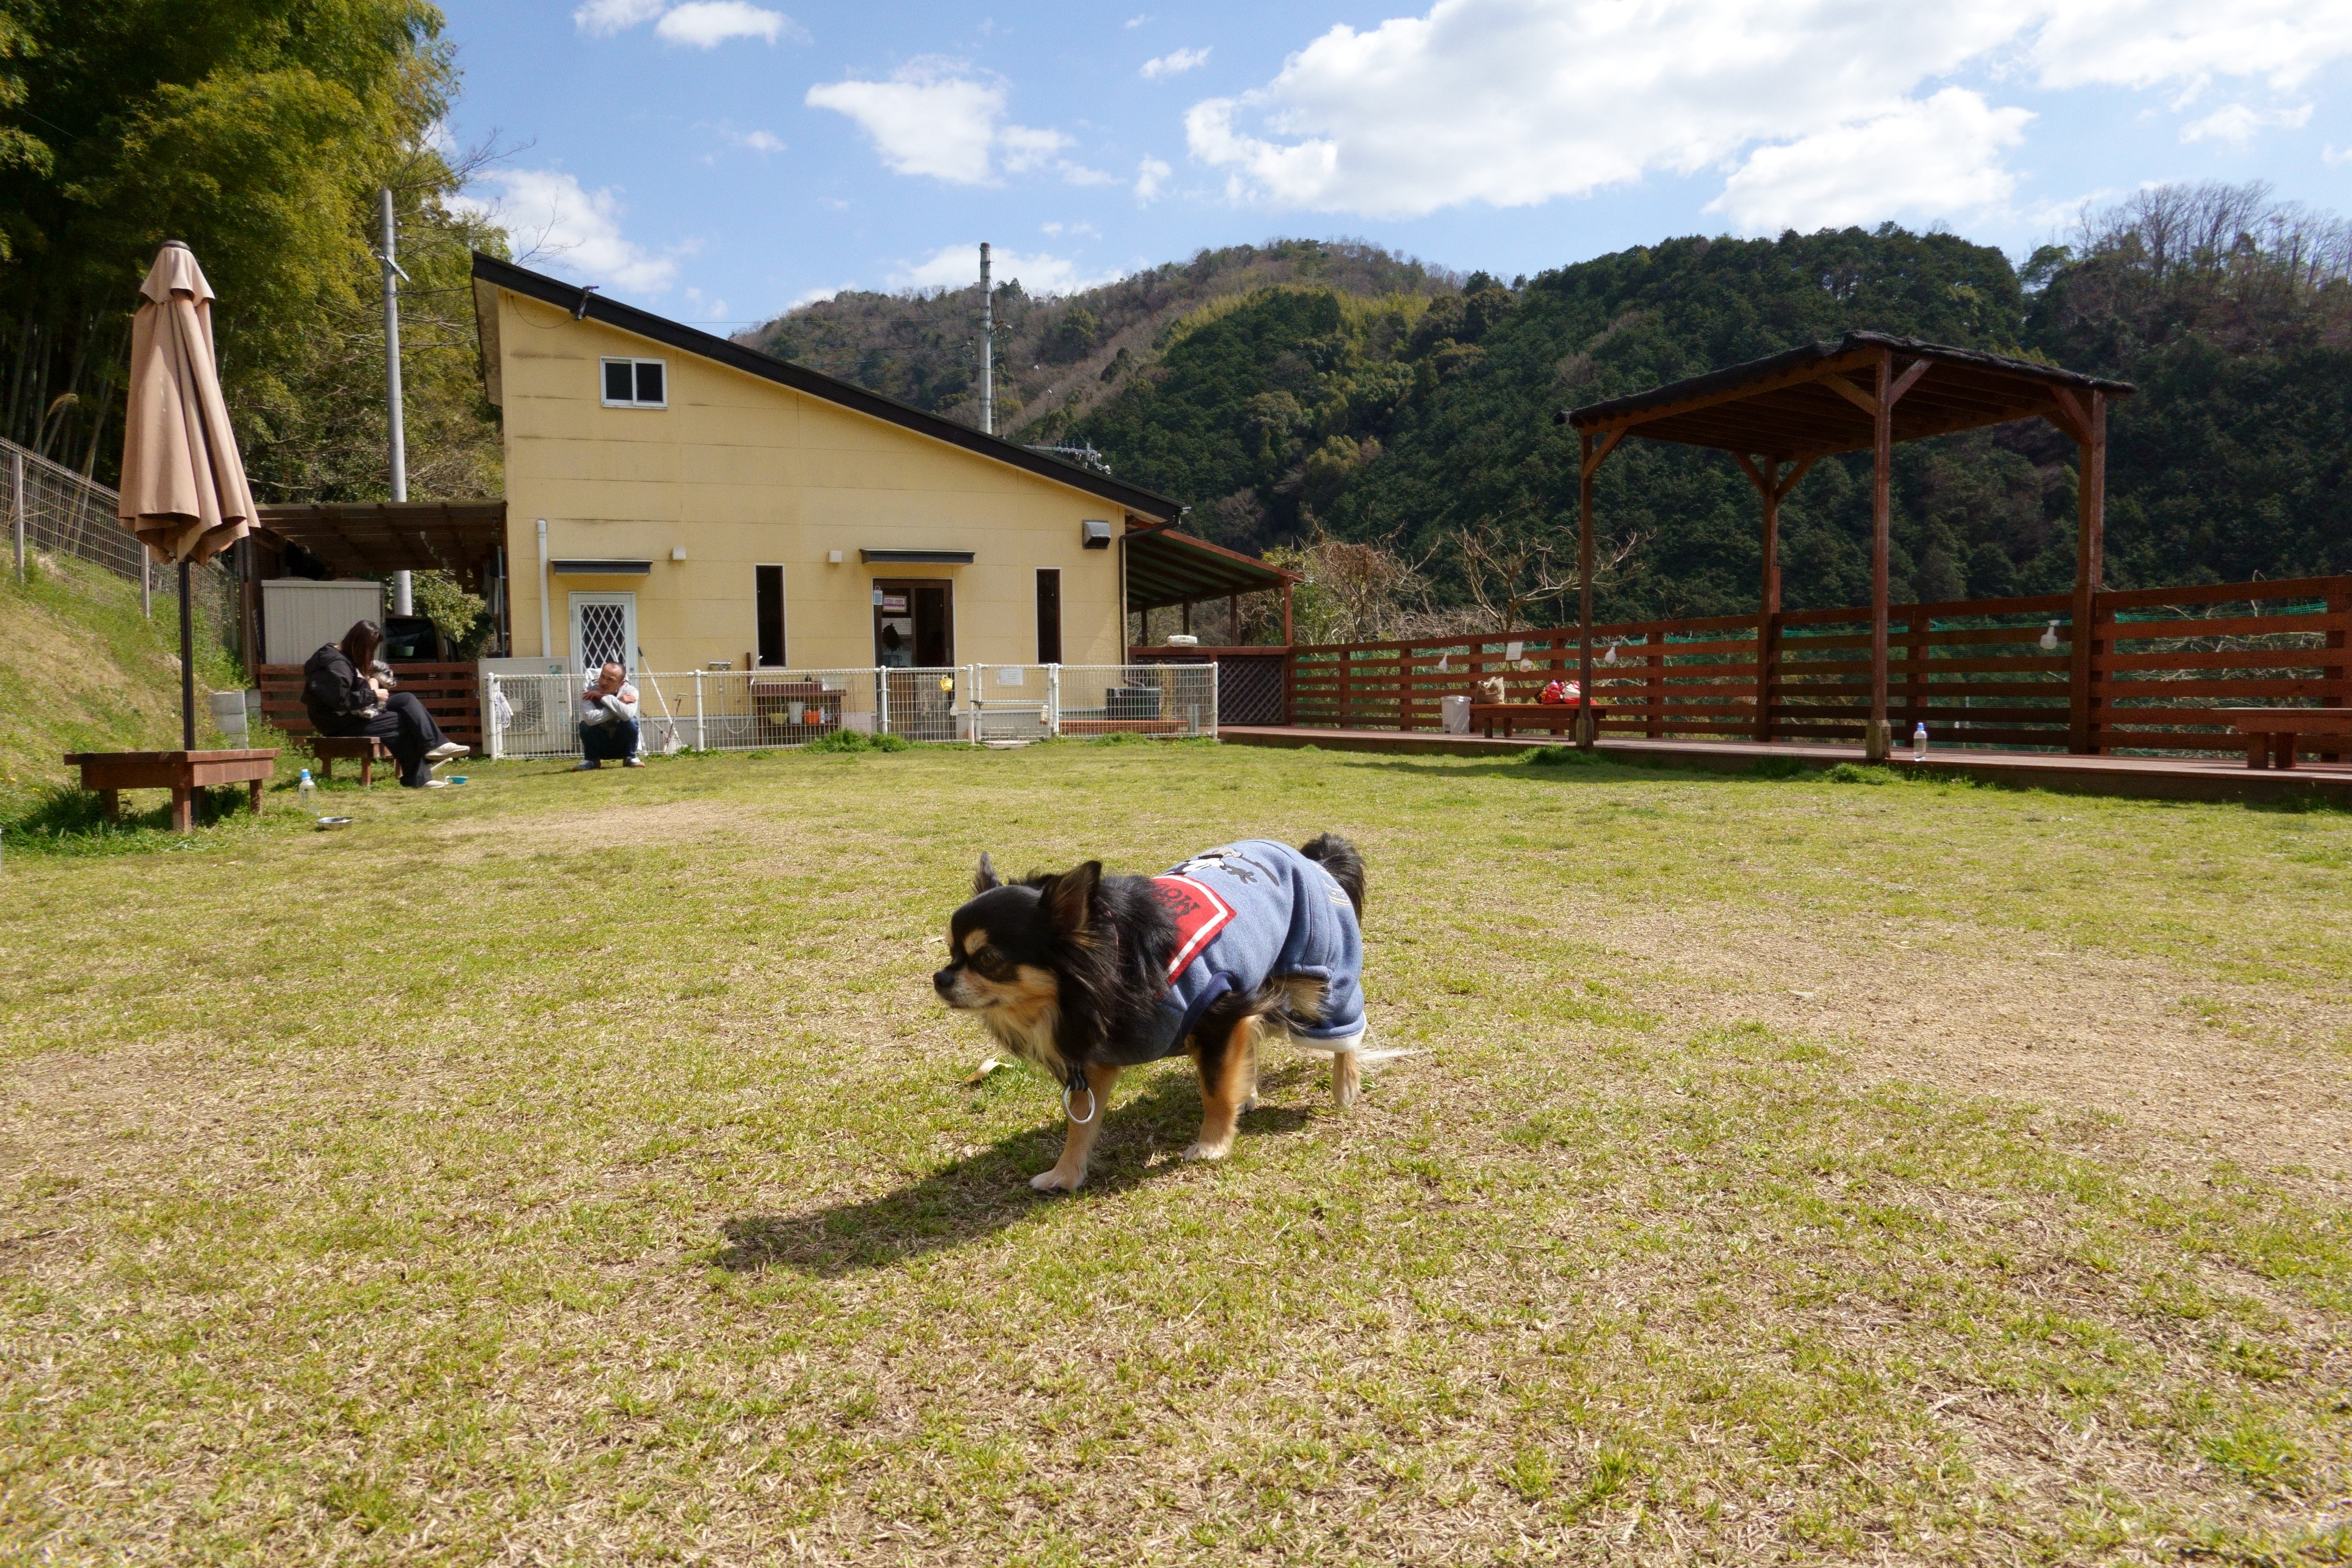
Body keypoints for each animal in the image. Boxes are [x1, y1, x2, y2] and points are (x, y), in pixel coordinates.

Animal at [936, 832, 1373, 1189]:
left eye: (988, 959)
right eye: (952, 951)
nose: (939, 978)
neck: (1114, 966)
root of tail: (1313, 858)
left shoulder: (1218, 1016)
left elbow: (1214, 1089)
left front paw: (1213, 1145)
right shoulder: (1098, 1056)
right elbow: (1080, 1121)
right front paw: (1066, 1173)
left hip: (1323, 973)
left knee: (1345, 1029)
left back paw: (1345, 1084)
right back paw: (1247, 1092)